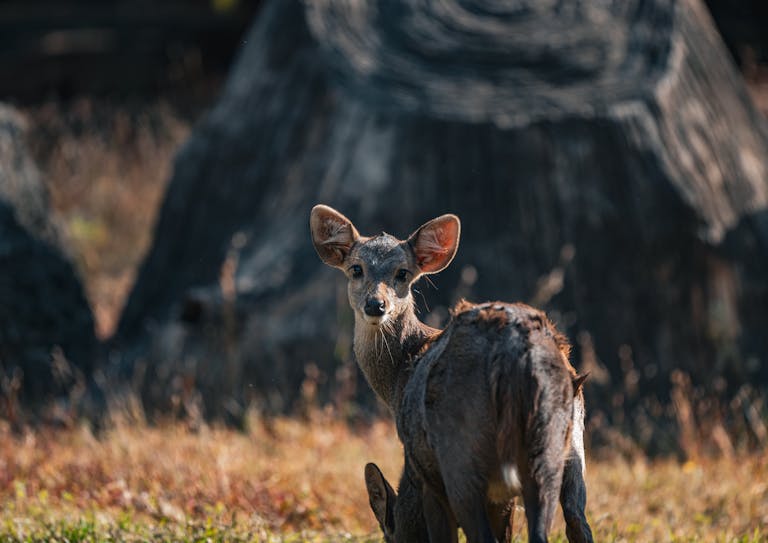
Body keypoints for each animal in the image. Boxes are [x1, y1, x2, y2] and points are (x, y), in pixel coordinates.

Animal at [310, 205, 593, 543]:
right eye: (356, 269)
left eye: (402, 273)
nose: (376, 305)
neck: (398, 376)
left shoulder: (425, 473)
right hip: (567, 450)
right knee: (575, 521)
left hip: (462, 457)